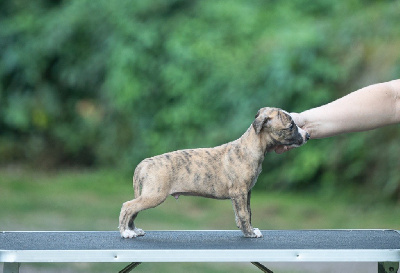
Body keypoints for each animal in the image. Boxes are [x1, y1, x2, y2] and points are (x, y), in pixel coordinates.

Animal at [119, 107, 310, 237]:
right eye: (291, 126)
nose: (307, 135)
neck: (249, 147)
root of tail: (144, 163)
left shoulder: (245, 193)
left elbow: (245, 212)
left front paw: (246, 229)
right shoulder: (239, 192)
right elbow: (244, 214)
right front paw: (250, 233)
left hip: (148, 194)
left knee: (133, 209)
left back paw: (133, 230)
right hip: (154, 195)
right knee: (127, 206)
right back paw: (125, 232)